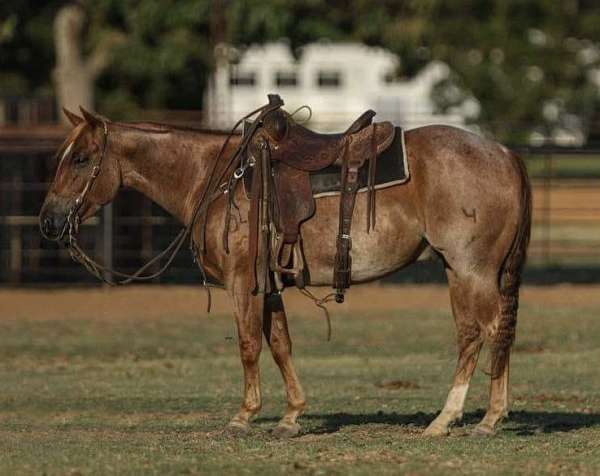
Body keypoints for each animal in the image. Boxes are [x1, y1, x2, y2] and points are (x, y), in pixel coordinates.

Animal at [41, 108, 528, 438]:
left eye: (80, 158)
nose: (48, 220)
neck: (216, 178)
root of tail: (503, 152)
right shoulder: (269, 284)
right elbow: (279, 343)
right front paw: (293, 415)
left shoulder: (242, 282)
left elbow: (248, 344)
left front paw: (244, 415)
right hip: (461, 271)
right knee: (479, 332)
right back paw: (477, 417)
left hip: (471, 269)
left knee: (487, 330)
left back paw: (465, 419)